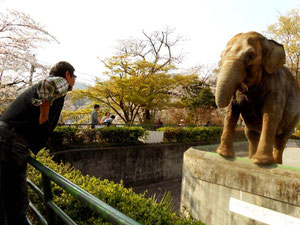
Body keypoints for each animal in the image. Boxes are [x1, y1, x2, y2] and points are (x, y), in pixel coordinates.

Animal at [214, 31, 300, 164]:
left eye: (250, 56)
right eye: (222, 55)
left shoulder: (276, 86)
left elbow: (270, 114)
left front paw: (261, 162)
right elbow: (231, 111)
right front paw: (223, 154)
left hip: (295, 117)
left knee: (281, 140)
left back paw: (274, 163)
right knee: (251, 135)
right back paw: (251, 159)